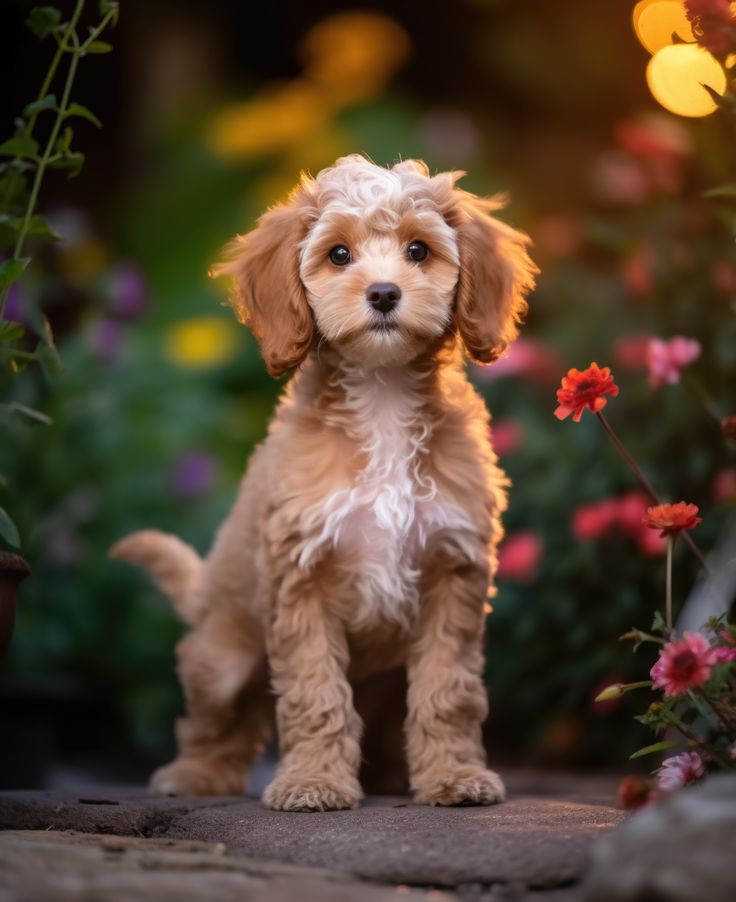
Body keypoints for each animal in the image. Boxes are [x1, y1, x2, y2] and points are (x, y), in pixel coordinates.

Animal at [110, 154, 536, 812]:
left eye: (418, 250)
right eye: (338, 255)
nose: (383, 292)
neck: (383, 398)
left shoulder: (454, 572)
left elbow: (447, 691)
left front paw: (454, 777)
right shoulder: (301, 577)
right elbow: (315, 691)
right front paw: (313, 783)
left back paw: (393, 775)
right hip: (221, 664)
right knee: (213, 723)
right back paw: (196, 776)